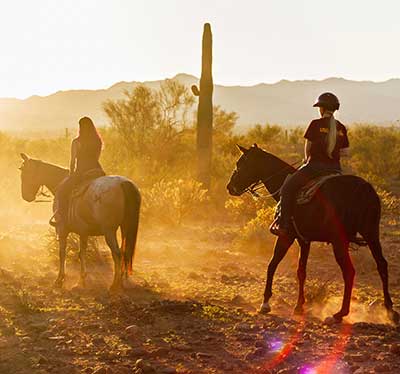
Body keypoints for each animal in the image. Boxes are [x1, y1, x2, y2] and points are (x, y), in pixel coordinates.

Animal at [19, 153, 141, 292]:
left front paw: (59, 279)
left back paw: (115, 285)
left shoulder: (62, 229)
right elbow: (82, 253)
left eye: (25, 172)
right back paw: (123, 281)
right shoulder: (83, 232)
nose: (26, 196)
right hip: (125, 228)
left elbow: (63, 252)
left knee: (117, 253)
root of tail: (124, 183)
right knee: (125, 252)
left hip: (109, 231)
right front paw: (81, 280)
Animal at [227, 145, 398, 322]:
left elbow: (272, 264)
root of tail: (363, 189)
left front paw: (265, 303)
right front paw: (298, 306)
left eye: (241, 164)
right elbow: (301, 271)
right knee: (382, 264)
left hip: (340, 240)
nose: (230, 187)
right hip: (371, 234)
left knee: (349, 271)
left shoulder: (286, 236)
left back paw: (341, 313)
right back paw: (389, 309)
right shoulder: (304, 240)